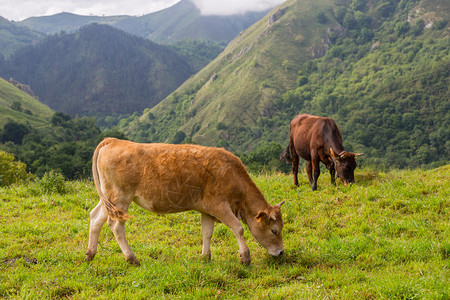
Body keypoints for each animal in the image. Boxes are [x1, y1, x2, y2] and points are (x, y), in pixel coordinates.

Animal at [85, 137, 284, 264]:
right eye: (274, 230)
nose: (282, 252)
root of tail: (113, 140)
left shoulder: (206, 209)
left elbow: (207, 232)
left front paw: (205, 257)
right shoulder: (218, 205)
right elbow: (238, 227)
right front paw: (245, 257)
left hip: (108, 198)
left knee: (95, 218)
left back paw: (90, 254)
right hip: (120, 197)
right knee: (116, 225)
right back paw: (131, 258)